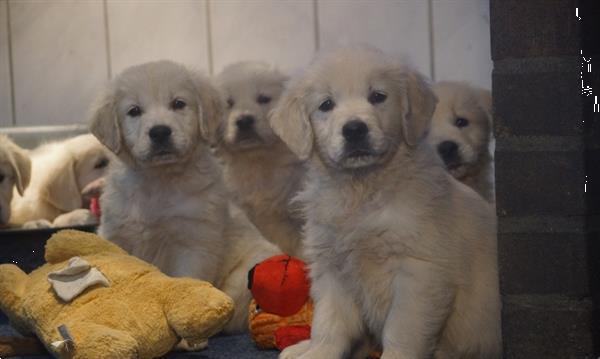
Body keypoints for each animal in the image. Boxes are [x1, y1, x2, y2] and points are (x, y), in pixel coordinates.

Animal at [91, 59, 278, 334]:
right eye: (134, 111)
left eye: (178, 103)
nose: (159, 132)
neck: (159, 181)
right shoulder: (117, 234)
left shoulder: (194, 243)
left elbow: (187, 284)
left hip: (247, 274)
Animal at [270, 46, 500, 358]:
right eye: (326, 104)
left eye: (378, 96)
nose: (354, 129)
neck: (362, 191)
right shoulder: (333, 268)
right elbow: (329, 321)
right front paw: (319, 351)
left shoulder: (419, 272)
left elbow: (402, 329)